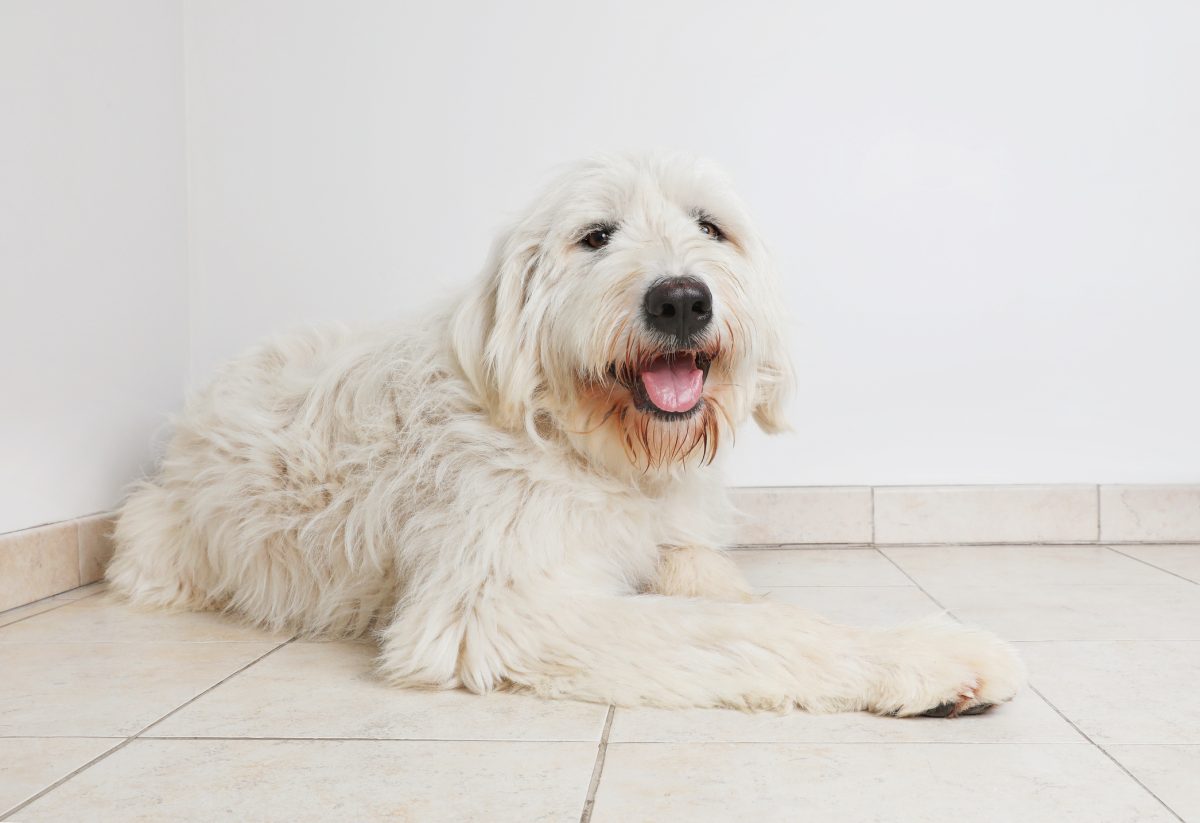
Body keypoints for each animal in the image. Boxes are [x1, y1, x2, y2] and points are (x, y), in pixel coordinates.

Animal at [108, 152, 1022, 715]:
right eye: (596, 236)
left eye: (710, 226)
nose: (681, 299)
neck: (586, 440)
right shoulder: (498, 603)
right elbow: (752, 630)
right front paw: (925, 654)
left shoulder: (664, 535)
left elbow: (722, 586)